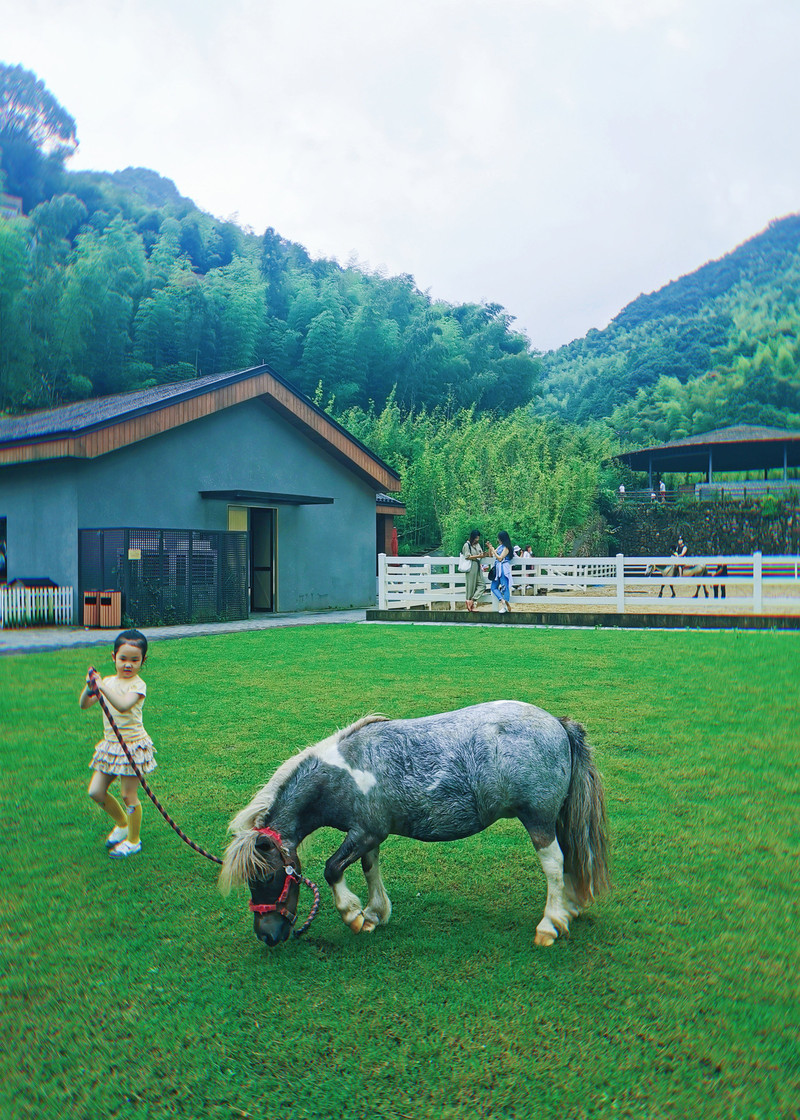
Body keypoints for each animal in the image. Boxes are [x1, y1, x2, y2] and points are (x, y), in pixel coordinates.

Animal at [219, 700, 610, 948]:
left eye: (265, 877)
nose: (266, 935)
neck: (345, 772)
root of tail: (558, 724)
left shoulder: (364, 833)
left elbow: (332, 869)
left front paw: (353, 915)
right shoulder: (369, 835)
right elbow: (370, 868)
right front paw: (375, 913)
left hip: (538, 819)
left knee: (554, 864)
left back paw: (549, 924)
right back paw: (569, 909)